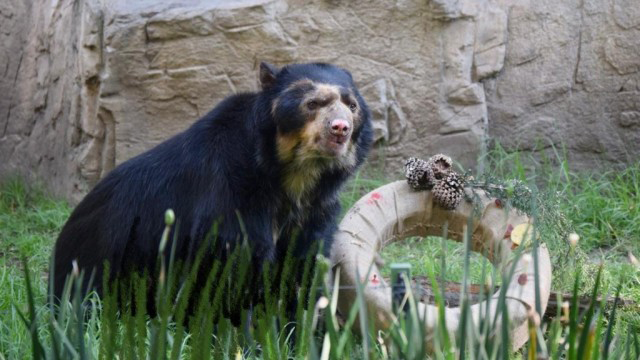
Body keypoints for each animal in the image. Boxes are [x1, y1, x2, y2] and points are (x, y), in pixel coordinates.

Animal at [51, 62, 376, 320]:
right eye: (312, 104)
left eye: (352, 106)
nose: (340, 128)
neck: (295, 177)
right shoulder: (231, 193)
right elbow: (235, 266)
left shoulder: (316, 211)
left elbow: (299, 270)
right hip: (102, 267)